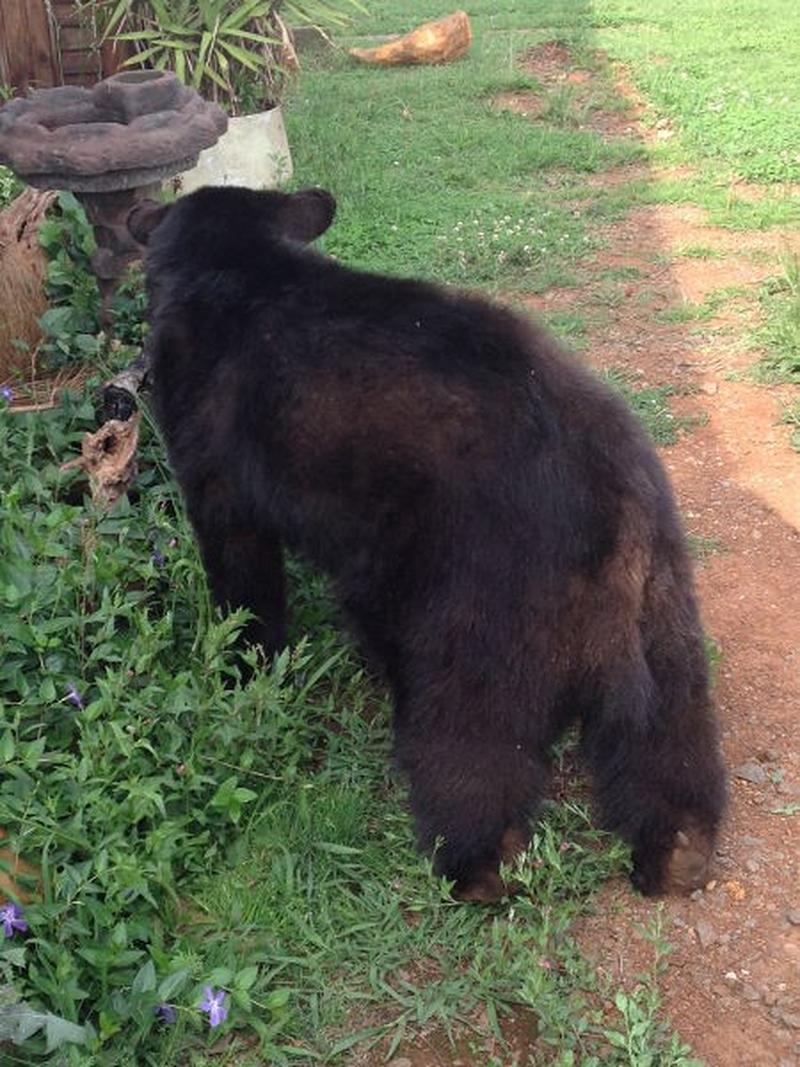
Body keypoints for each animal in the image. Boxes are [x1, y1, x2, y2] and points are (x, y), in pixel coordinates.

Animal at [127, 186, 727, 903]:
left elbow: (243, 573)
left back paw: (476, 864)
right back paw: (681, 847)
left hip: (480, 607)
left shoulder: (218, 464)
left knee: (469, 739)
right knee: (670, 726)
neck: (237, 261)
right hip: (661, 604)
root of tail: (610, 507)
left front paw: (241, 666)